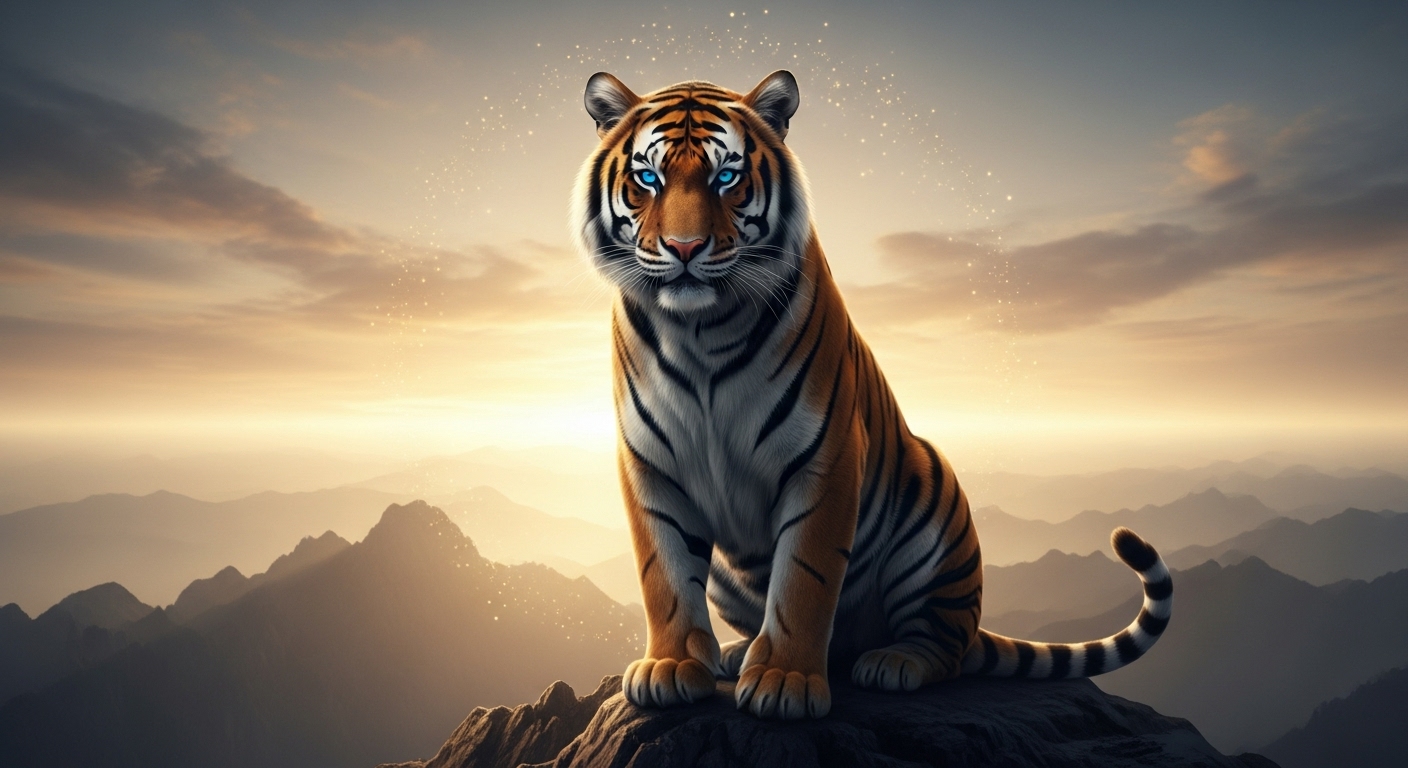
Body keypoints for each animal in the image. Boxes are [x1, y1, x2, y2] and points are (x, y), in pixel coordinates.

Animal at [571, 70, 1173, 720]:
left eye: (725, 178)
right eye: (648, 179)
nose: (684, 248)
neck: (699, 329)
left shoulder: (826, 456)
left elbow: (804, 577)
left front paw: (783, 681)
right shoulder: (650, 464)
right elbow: (664, 572)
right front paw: (672, 666)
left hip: (933, 503)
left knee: (944, 643)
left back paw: (892, 662)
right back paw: (738, 653)